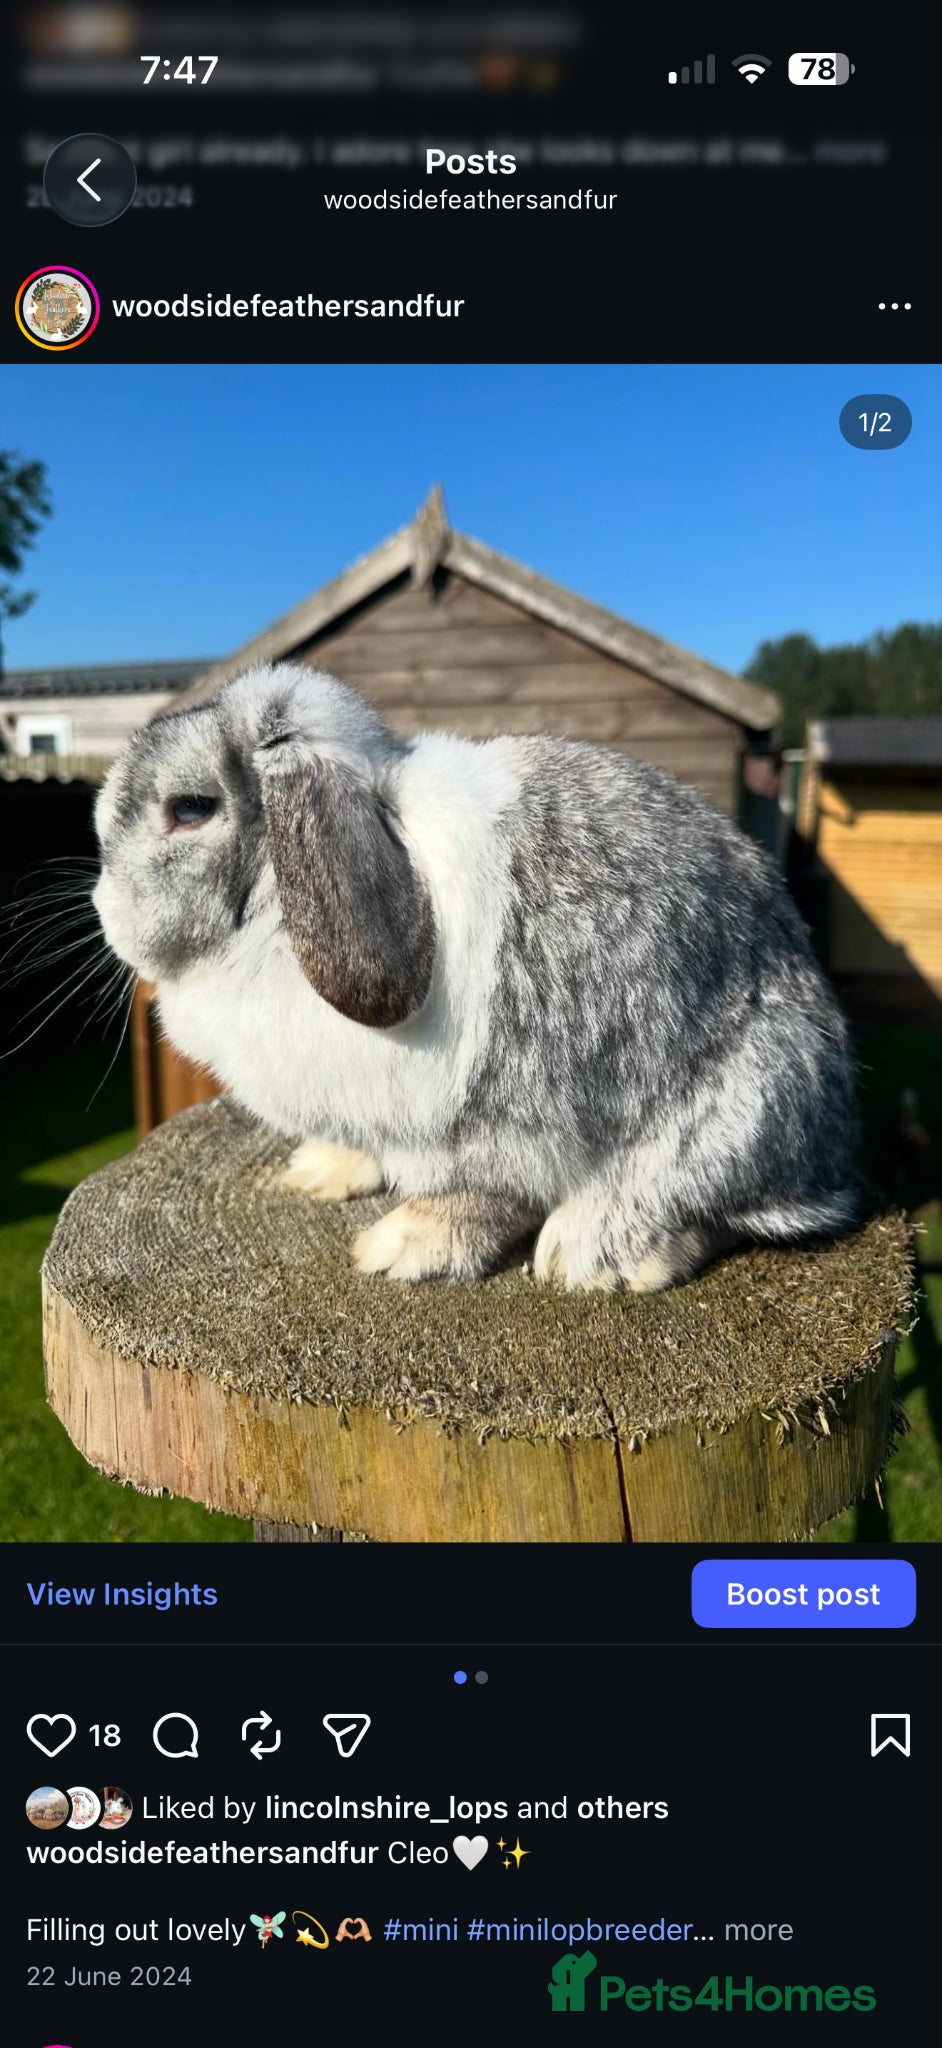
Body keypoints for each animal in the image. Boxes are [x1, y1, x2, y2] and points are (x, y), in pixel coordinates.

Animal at [93, 661, 860, 1291]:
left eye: (191, 809)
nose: (106, 910)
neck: (273, 910)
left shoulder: (494, 1130)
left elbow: (482, 1197)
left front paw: (400, 1249)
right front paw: (323, 1170)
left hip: (745, 1101)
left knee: (714, 1206)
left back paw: (591, 1256)